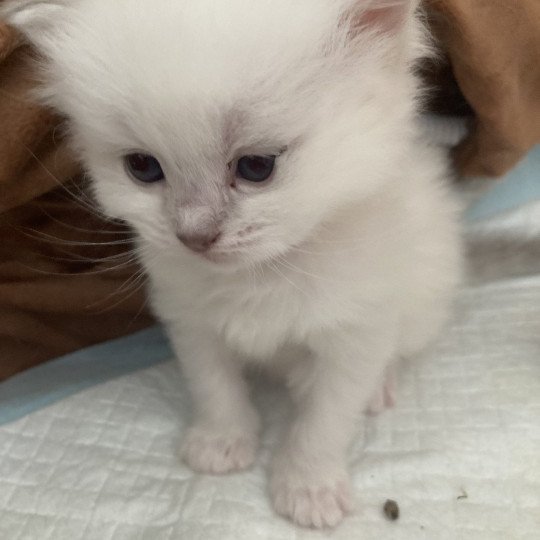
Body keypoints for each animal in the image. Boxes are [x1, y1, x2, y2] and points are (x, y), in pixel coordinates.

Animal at [4, 0, 462, 528]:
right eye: (142, 167)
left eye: (257, 166)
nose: (193, 237)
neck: (262, 271)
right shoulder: (192, 321)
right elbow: (214, 386)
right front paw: (221, 443)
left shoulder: (355, 335)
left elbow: (325, 420)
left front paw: (308, 487)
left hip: (425, 296)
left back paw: (377, 389)